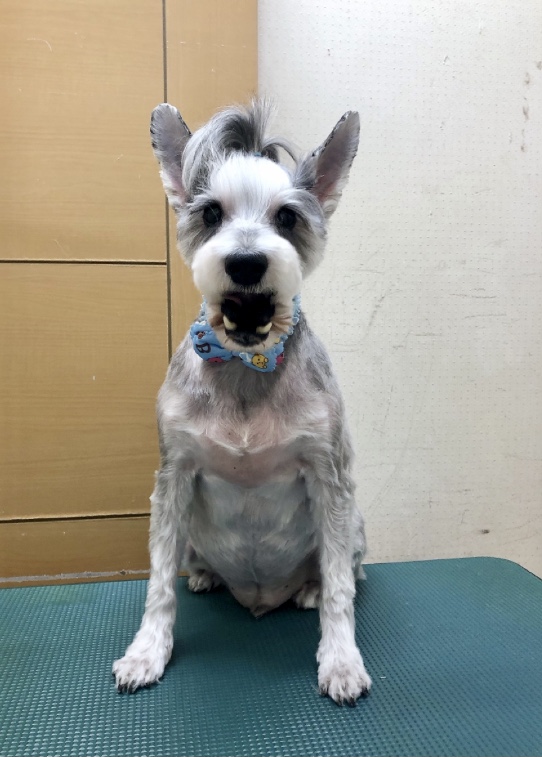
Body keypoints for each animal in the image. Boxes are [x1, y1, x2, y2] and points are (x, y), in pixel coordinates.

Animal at [112, 100, 372, 705]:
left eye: (288, 218)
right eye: (210, 213)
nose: (247, 262)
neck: (248, 367)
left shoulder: (330, 476)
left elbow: (341, 590)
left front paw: (341, 661)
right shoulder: (173, 477)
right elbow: (158, 583)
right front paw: (146, 653)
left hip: (355, 522)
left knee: (346, 568)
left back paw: (307, 587)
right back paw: (208, 575)